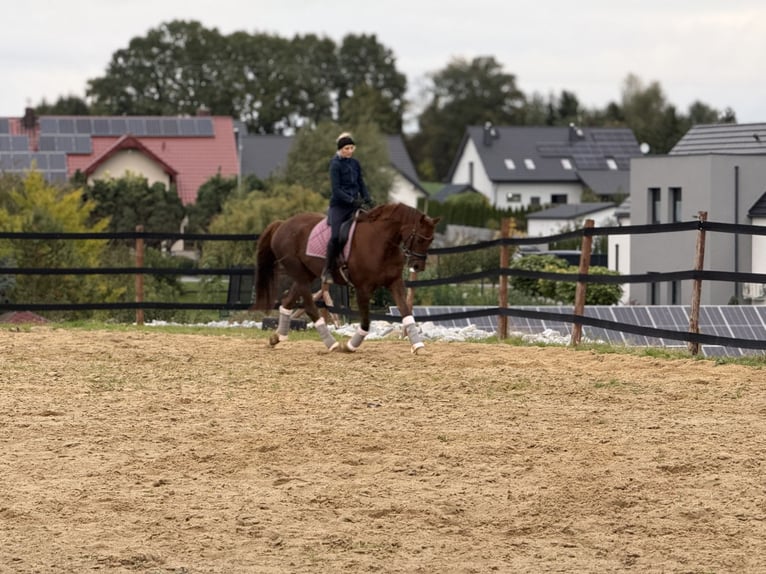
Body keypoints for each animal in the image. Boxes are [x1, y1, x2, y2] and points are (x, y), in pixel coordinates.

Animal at [254, 203, 440, 353]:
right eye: (420, 239)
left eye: (431, 240)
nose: (418, 266)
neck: (381, 242)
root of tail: (282, 224)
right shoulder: (363, 288)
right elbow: (365, 322)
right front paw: (350, 346)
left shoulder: (395, 283)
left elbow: (406, 312)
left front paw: (419, 346)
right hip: (299, 273)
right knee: (309, 306)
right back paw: (332, 344)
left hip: (306, 274)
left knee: (287, 301)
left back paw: (277, 337)